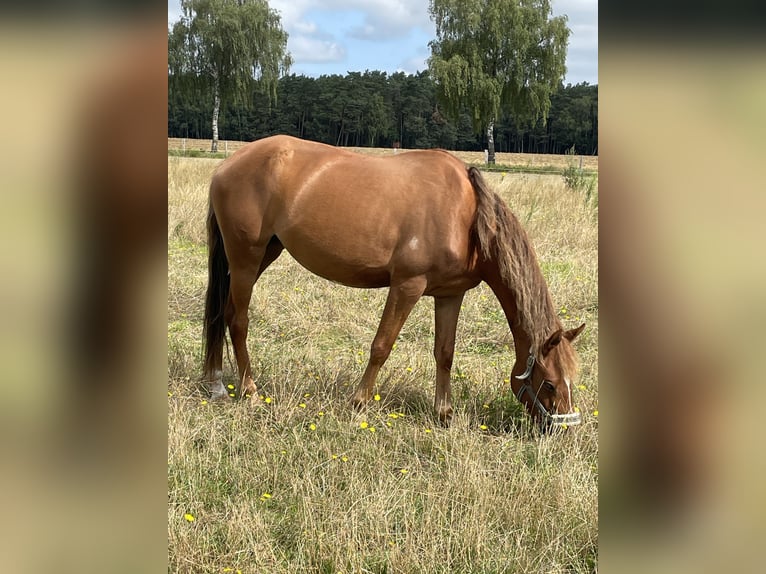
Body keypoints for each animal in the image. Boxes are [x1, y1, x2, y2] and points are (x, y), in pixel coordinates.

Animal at [202, 135, 585, 429]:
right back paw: (249, 390)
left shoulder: (450, 294)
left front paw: (444, 414)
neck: (466, 216)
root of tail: (227, 165)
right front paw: (358, 402)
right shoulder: (407, 286)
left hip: (263, 254)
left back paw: (217, 384)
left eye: (571, 382)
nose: (563, 429)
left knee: (223, 314)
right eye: (550, 384)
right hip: (246, 257)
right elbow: (381, 346)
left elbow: (444, 352)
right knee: (239, 321)